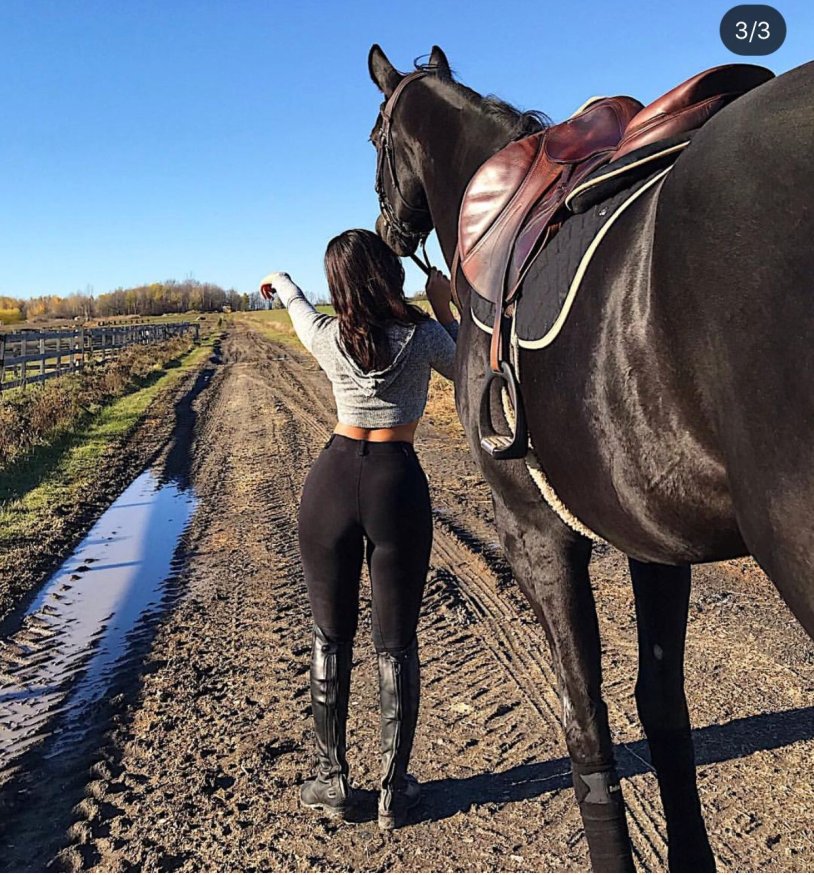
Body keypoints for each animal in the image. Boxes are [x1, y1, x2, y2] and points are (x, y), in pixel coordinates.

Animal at [367, 44, 814, 871]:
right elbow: (661, 708)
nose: (384, 227)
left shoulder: (535, 534)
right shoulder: (655, 538)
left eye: (374, 137)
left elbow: (586, 722)